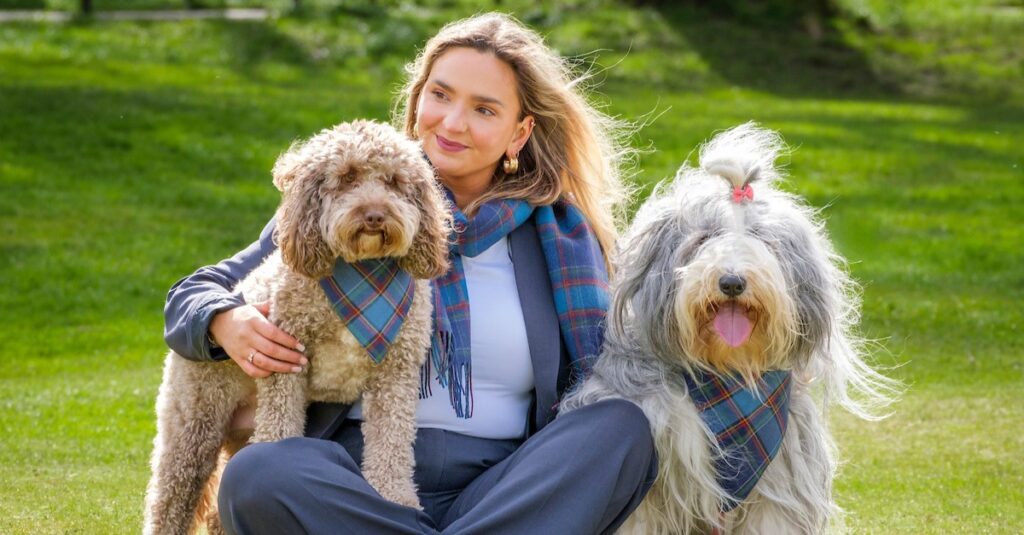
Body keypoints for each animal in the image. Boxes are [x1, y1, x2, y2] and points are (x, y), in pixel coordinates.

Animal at [144, 119, 452, 532]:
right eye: (347, 177)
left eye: (394, 180)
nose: (374, 215)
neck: (364, 273)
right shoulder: (284, 365)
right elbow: (279, 430)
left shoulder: (395, 374)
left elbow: (391, 444)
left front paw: (395, 497)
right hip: (192, 428)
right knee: (168, 502)